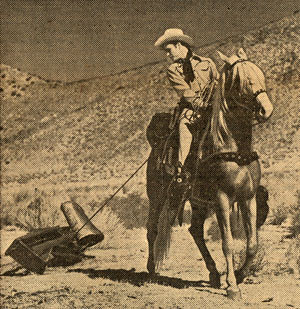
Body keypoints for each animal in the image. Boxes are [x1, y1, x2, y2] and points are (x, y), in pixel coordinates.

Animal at [146, 48, 274, 298]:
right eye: (241, 79)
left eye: (259, 73)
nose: (266, 109)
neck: (235, 149)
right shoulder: (223, 199)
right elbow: (228, 243)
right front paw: (232, 286)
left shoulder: (248, 198)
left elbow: (252, 244)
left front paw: (240, 275)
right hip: (157, 196)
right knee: (152, 229)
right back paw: (151, 269)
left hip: (198, 202)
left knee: (195, 230)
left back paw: (214, 273)